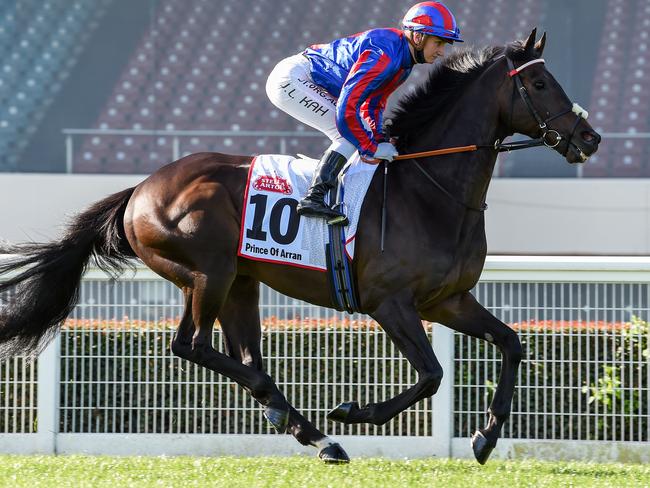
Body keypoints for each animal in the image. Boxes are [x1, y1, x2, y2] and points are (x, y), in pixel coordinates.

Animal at [0, 30, 596, 466]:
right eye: (539, 82)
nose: (589, 139)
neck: (429, 188)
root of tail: (140, 190)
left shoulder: (447, 300)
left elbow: (512, 344)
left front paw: (486, 437)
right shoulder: (391, 303)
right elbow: (430, 375)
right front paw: (353, 411)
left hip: (241, 282)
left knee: (245, 358)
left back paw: (308, 431)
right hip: (206, 272)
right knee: (191, 346)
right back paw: (316, 427)